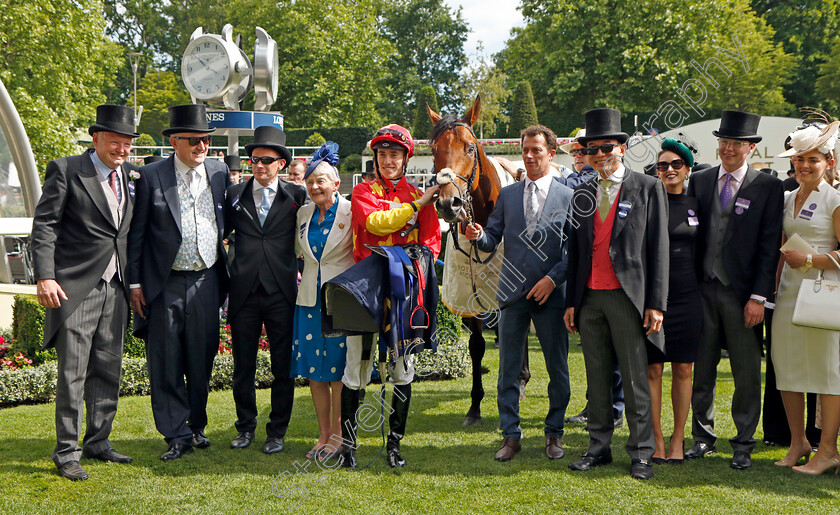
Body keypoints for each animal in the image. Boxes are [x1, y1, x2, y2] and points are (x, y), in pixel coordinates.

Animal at [430, 94, 516, 426]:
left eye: (469, 147)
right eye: (434, 149)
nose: (448, 203)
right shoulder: (468, 291)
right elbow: (477, 345)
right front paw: (475, 406)